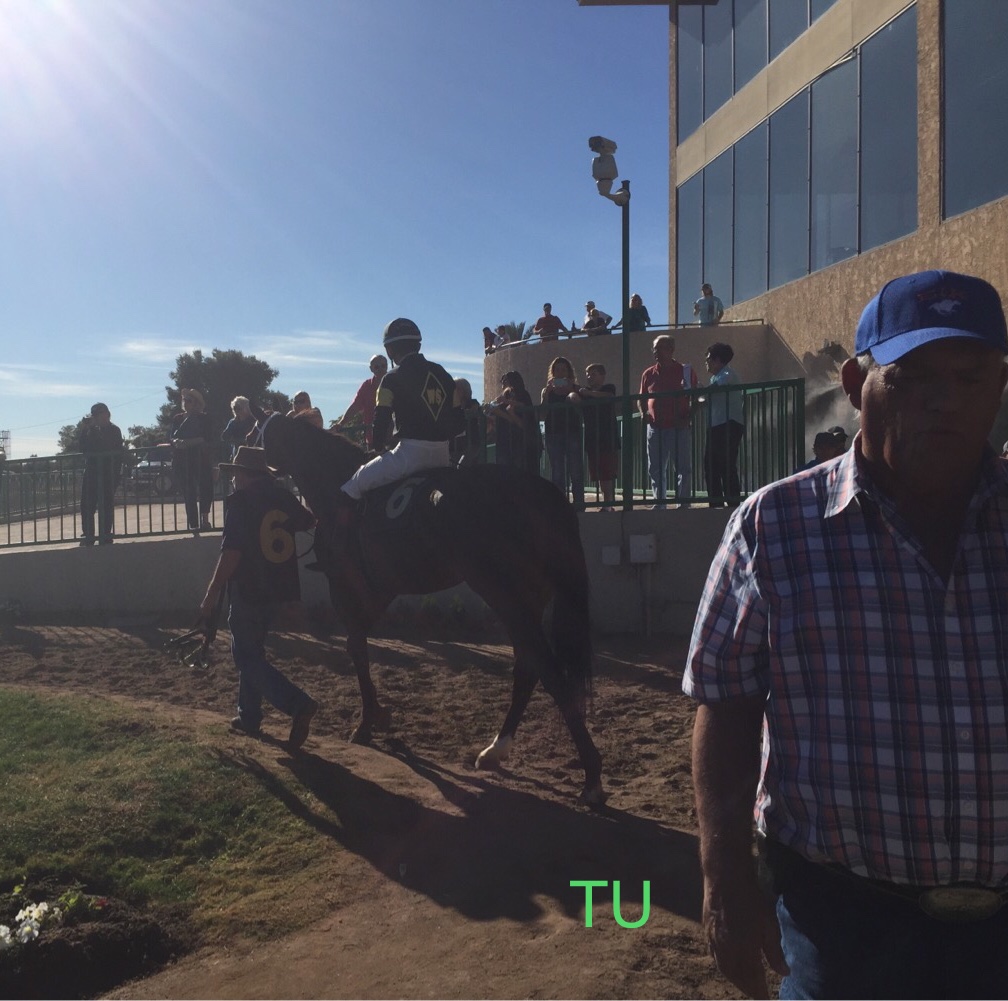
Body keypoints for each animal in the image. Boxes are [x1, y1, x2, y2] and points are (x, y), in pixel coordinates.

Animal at [260, 411, 604, 806]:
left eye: (262, 434)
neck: (335, 482)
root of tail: (542, 492)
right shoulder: (380, 590)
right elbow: (360, 648)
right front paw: (377, 716)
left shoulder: (345, 589)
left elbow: (357, 650)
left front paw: (367, 722)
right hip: (525, 600)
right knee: (528, 668)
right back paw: (496, 750)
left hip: (506, 597)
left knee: (548, 671)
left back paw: (592, 777)